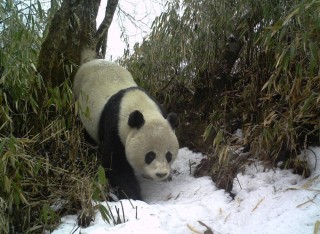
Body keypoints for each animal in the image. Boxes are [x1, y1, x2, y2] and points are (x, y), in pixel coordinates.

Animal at [74, 49, 180, 199]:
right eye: (150, 155)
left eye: (168, 155)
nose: (161, 174)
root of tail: (91, 60)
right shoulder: (114, 127)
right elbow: (115, 165)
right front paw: (132, 195)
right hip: (79, 100)